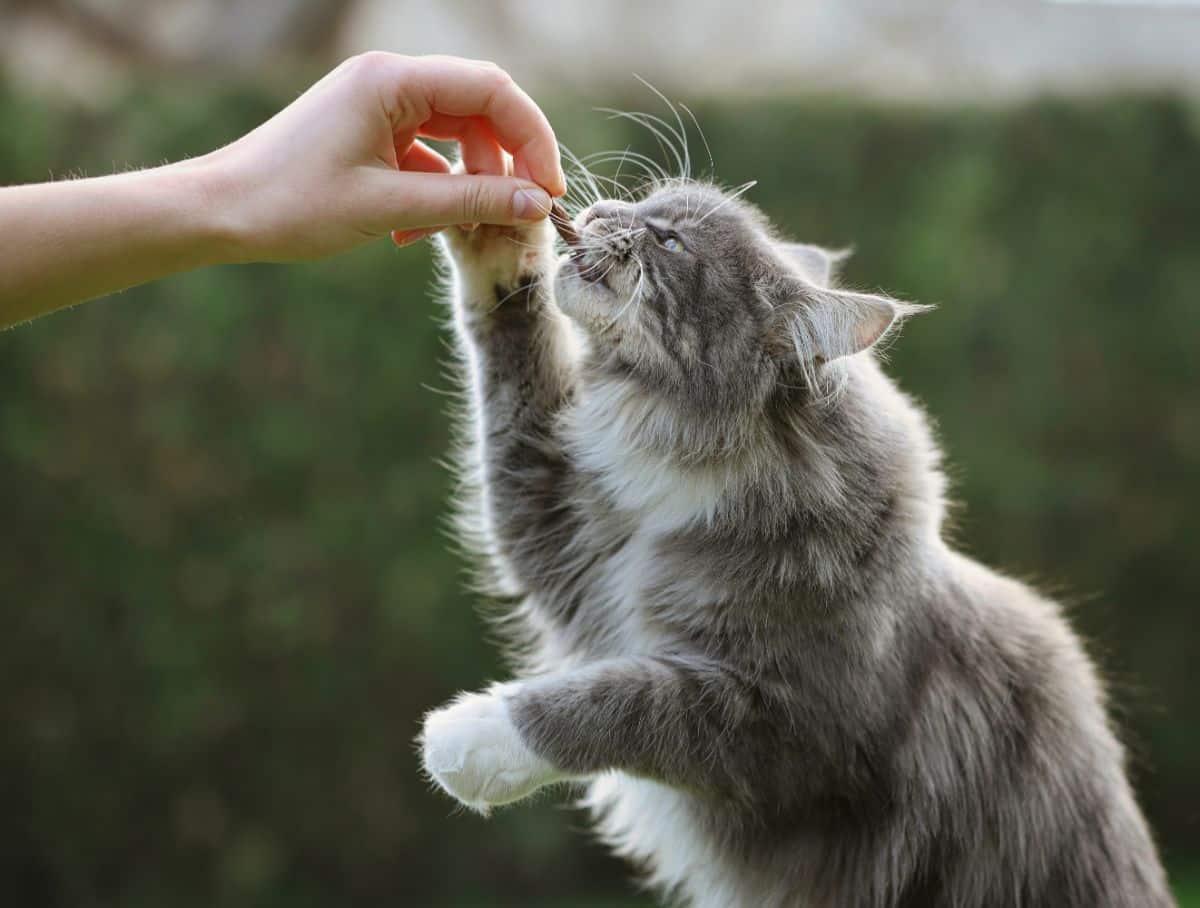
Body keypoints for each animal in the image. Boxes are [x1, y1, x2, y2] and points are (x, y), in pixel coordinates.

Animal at [415, 167, 1171, 902]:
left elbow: (620, 703)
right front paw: (493, 227)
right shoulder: (564, 533)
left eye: (670, 241)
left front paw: (471, 737)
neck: (695, 468)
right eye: (649, 201)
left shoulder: (790, 724)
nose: (600, 211)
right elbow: (512, 356)